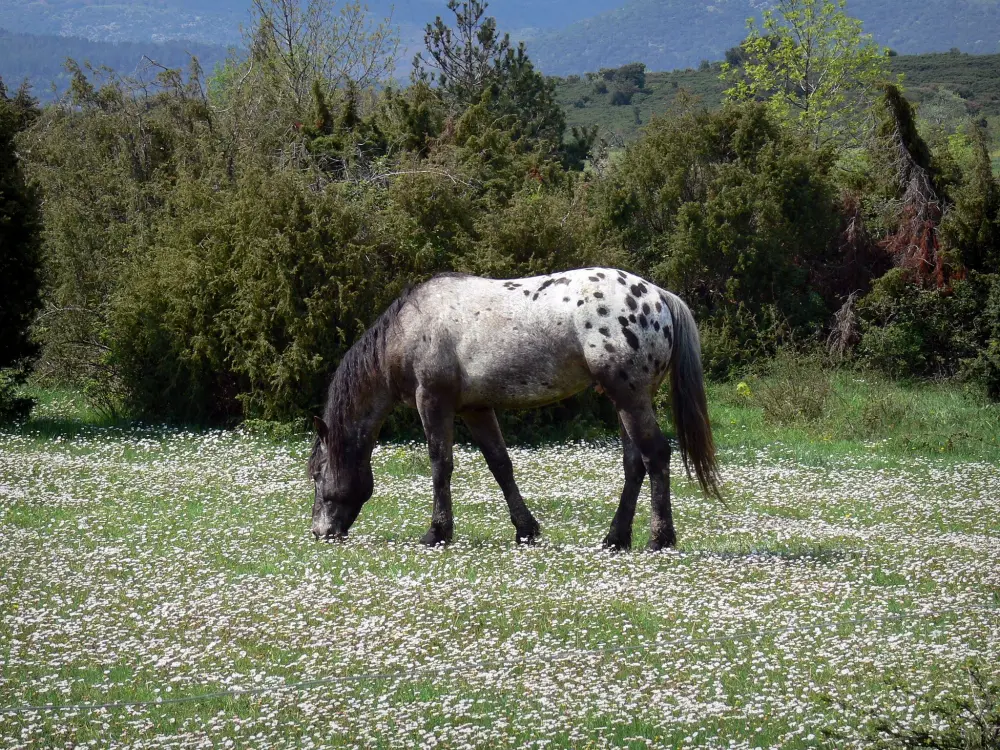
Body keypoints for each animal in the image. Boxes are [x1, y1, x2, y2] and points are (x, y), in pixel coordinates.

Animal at [308, 270, 724, 552]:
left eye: (316, 474)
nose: (319, 532)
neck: (409, 328)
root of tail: (658, 296)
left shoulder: (434, 403)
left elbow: (440, 464)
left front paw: (437, 532)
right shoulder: (475, 409)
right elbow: (500, 465)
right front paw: (526, 529)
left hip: (631, 399)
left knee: (656, 455)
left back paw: (659, 538)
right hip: (624, 402)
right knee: (634, 464)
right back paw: (615, 538)